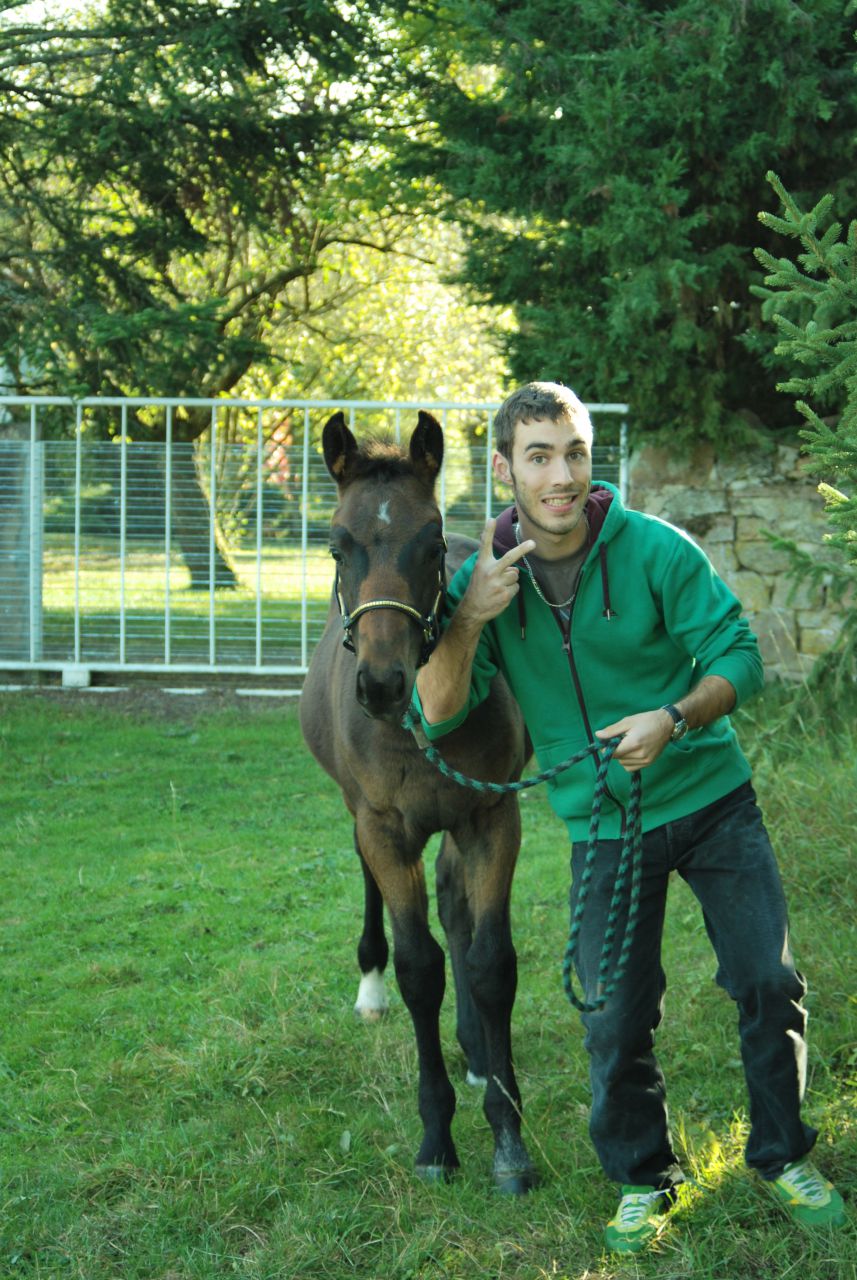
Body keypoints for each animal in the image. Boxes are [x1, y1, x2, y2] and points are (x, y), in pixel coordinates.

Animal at [299, 410, 537, 1194]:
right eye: (335, 545)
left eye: (430, 544)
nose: (380, 684)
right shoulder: (383, 827)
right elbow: (418, 968)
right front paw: (436, 1138)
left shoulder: (491, 816)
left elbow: (488, 960)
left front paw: (506, 1135)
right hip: (363, 815)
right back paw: (370, 989)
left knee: (455, 904)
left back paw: (476, 1052)